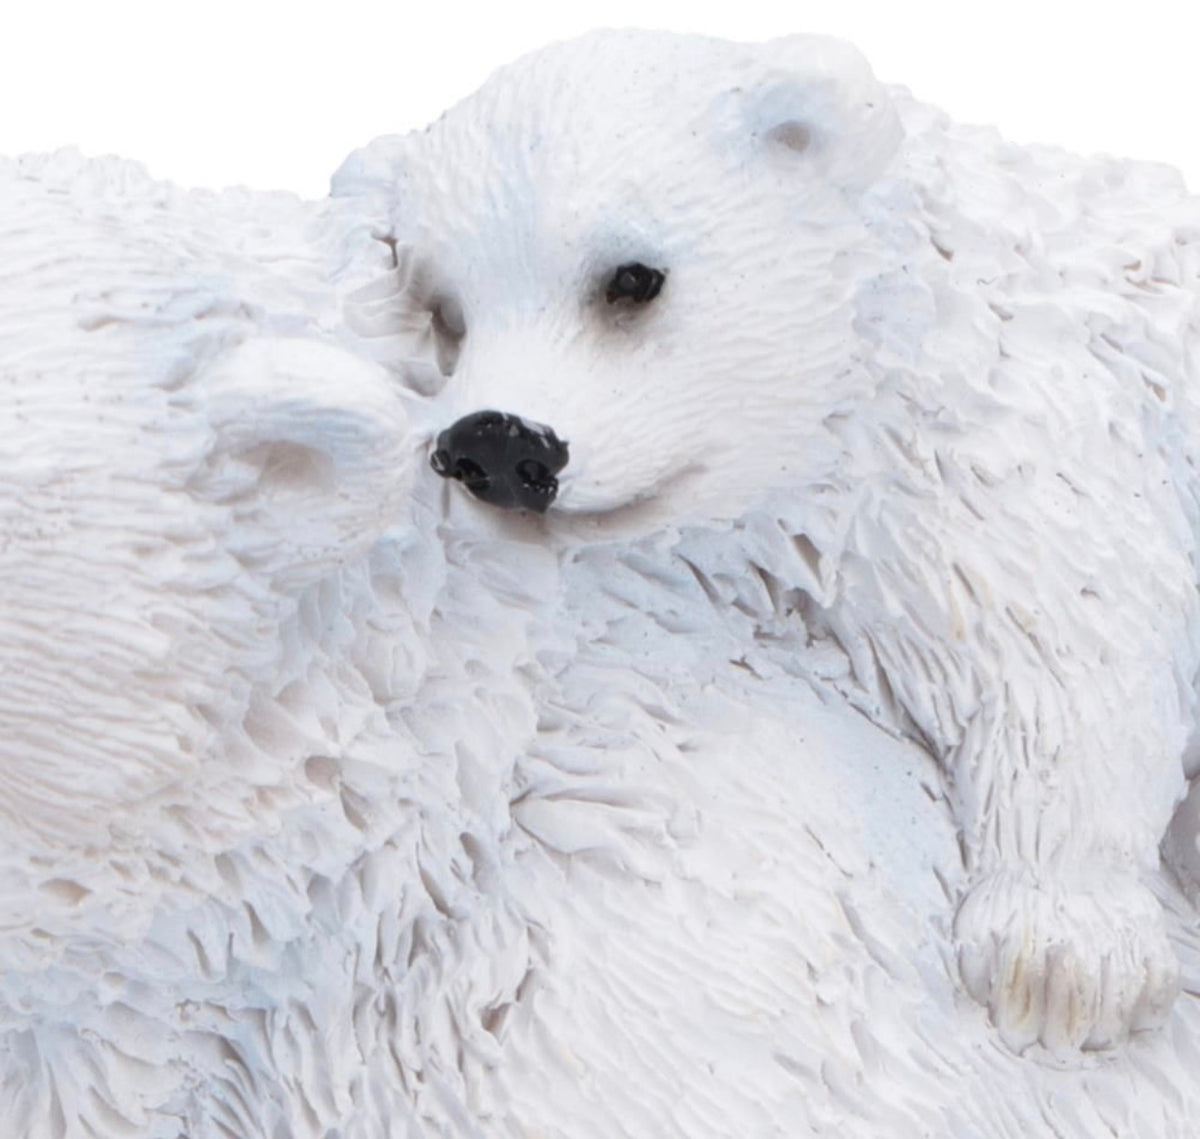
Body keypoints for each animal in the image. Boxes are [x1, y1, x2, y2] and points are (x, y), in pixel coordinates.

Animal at [334, 27, 1200, 1054]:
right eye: (445, 309)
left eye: (633, 277)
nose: (500, 444)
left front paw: (1060, 963)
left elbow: (1071, 650)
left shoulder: (1017, 451)